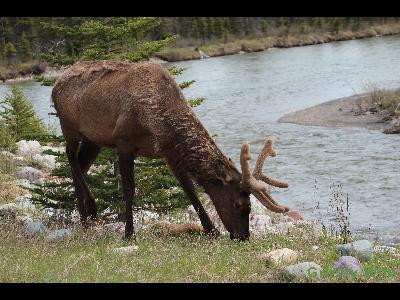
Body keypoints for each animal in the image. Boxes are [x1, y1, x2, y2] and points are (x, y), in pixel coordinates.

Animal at [51, 61, 290, 241]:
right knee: (71, 159)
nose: (243, 236)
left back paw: (85, 218)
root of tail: (56, 84)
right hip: (68, 126)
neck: (159, 120)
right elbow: (128, 189)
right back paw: (91, 212)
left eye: (249, 207)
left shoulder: (169, 152)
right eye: (240, 204)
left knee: (80, 165)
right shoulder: (124, 141)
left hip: (93, 139)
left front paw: (211, 229)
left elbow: (190, 190)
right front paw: (129, 233)